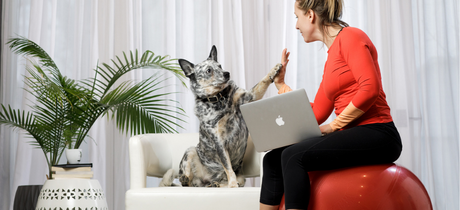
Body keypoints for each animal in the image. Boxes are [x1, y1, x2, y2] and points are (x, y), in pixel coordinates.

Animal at [160, 45, 282, 187]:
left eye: (220, 65)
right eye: (209, 70)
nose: (227, 73)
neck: (219, 99)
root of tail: (203, 182)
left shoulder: (250, 96)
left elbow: (263, 81)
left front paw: (274, 70)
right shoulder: (219, 143)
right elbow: (228, 167)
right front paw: (232, 184)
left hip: (239, 178)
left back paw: (216, 184)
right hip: (190, 150)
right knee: (187, 181)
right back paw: (187, 178)